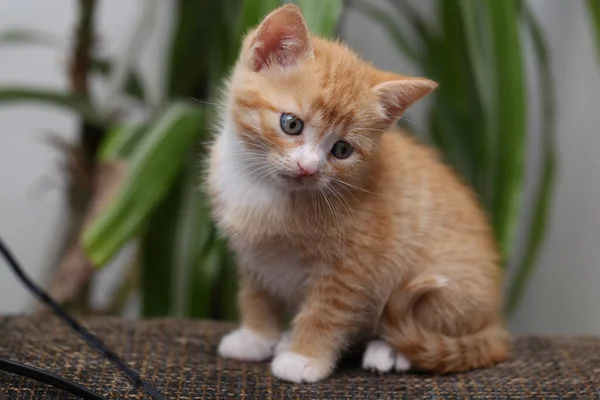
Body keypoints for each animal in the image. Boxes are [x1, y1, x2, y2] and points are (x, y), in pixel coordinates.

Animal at [207, 3, 510, 384]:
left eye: (341, 149)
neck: (265, 190)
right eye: (291, 124)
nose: (308, 168)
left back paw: (388, 351)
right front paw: (255, 337)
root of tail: (495, 321)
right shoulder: (253, 255)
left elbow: (326, 311)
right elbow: (256, 295)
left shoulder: (353, 263)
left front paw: (304, 358)